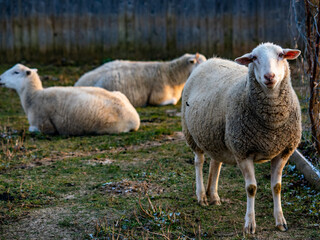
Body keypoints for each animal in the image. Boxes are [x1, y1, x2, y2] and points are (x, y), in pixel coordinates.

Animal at [181, 42, 302, 233]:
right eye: (254, 58)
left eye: (281, 55)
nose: (269, 76)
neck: (272, 125)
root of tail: (211, 60)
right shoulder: (243, 151)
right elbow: (251, 188)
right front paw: (250, 225)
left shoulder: (283, 151)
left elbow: (277, 187)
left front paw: (280, 221)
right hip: (192, 134)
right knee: (199, 162)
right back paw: (202, 196)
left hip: (216, 136)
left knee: (216, 162)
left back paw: (213, 195)